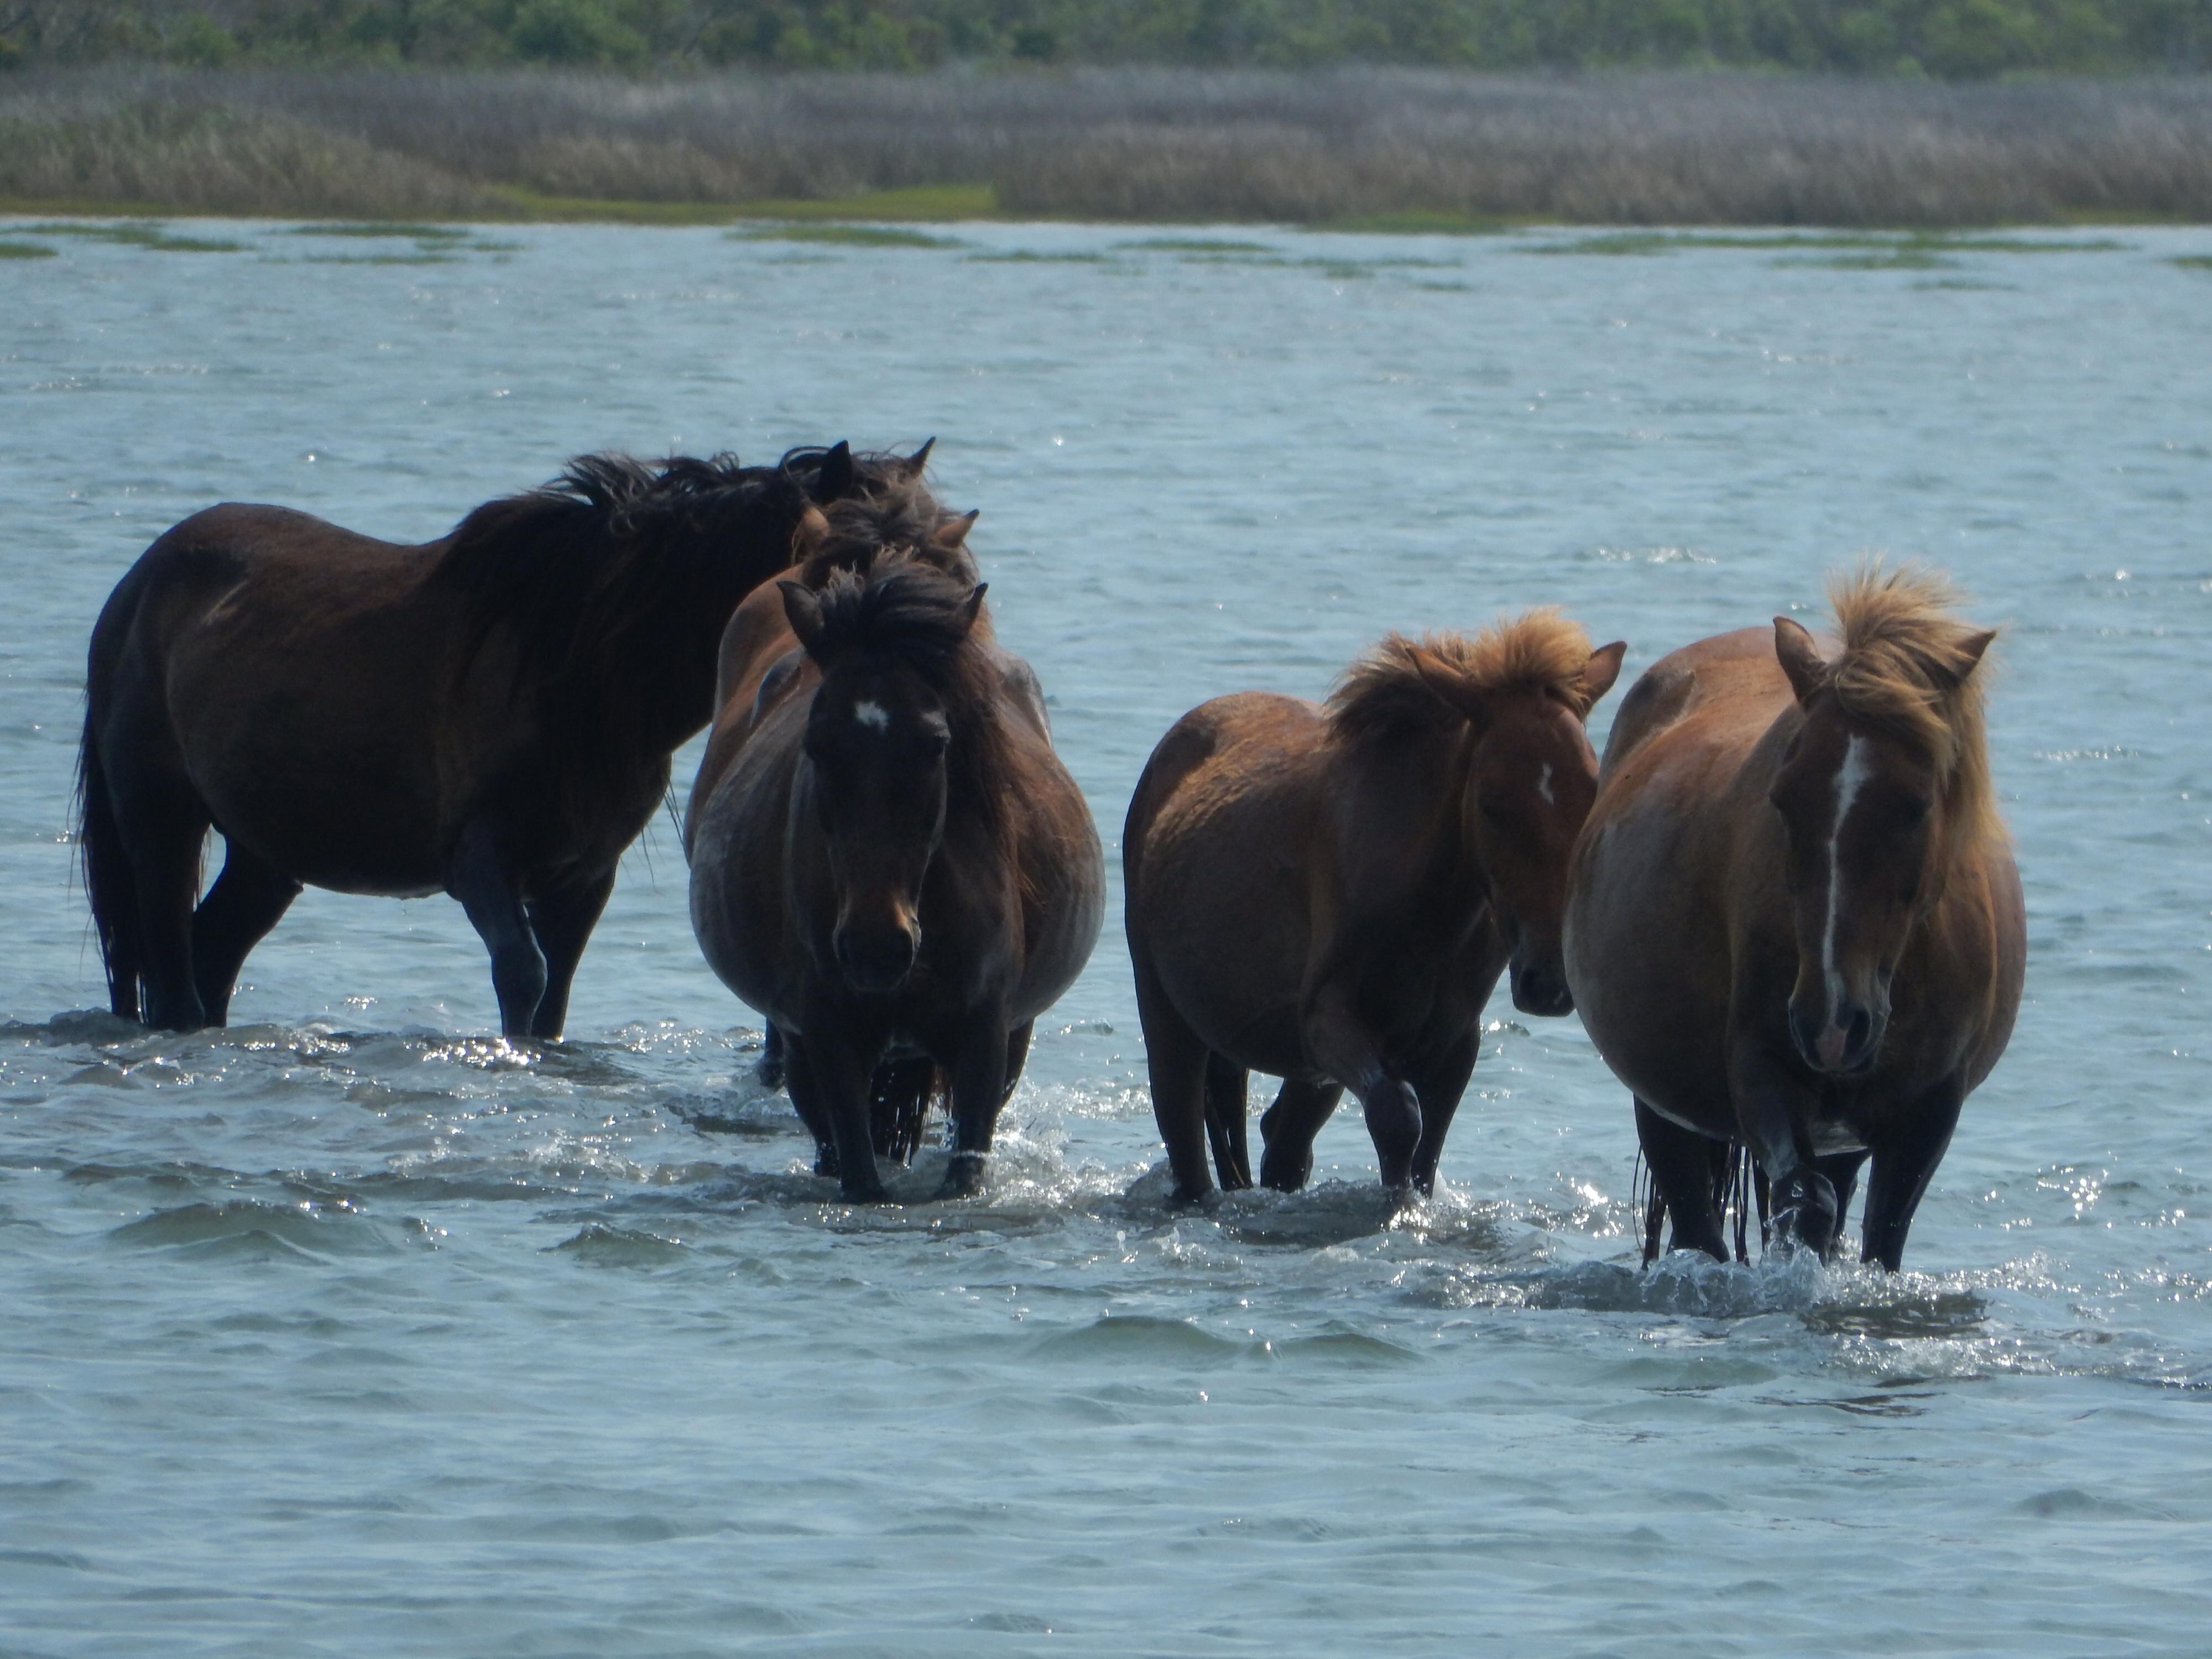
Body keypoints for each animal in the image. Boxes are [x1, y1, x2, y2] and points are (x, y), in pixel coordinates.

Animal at [71, 442, 863, 1040]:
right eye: (809, 571)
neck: (574, 668)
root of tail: (138, 582)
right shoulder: (481, 859)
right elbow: (523, 976)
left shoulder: (582, 879)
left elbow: (554, 997)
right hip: (161, 822)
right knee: (171, 969)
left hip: (265, 854)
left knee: (210, 955)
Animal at [1124, 606, 1628, 1194]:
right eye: (1490, 802)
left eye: (1591, 791)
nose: (1547, 983)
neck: (1426, 910)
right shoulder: (1326, 1018)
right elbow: (1397, 1119)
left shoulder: (1452, 1043)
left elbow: (1423, 1153)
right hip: (1166, 1016)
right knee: (1190, 1138)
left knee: (1274, 1139)